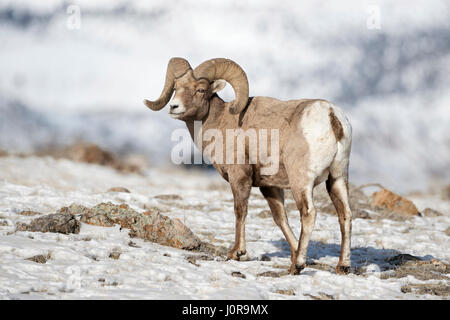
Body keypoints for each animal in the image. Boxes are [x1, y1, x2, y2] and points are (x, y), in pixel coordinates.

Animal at [142, 56, 354, 274]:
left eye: (200, 89)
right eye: (176, 88)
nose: (174, 107)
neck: (222, 123)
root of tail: (331, 117)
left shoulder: (240, 177)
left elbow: (240, 211)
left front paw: (237, 252)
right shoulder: (269, 186)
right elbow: (280, 218)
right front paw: (294, 254)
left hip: (301, 182)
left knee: (309, 214)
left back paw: (298, 266)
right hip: (337, 178)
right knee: (345, 214)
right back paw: (342, 266)